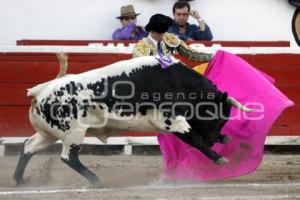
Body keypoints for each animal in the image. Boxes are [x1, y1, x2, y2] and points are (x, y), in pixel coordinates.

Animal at [12, 54, 252, 184]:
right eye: (218, 117)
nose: (214, 139)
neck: (180, 83)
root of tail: (40, 91)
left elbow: (193, 138)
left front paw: (223, 141)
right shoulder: (172, 120)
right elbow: (194, 138)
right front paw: (218, 157)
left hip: (48, 133)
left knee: (28, 146)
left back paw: (19, 180)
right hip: (73, 132)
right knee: (68, 157)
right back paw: (97, 181)